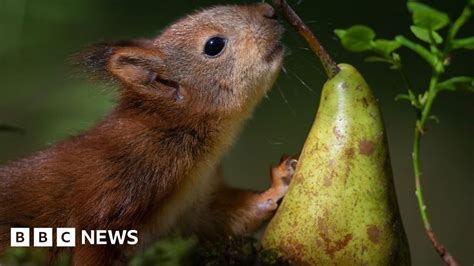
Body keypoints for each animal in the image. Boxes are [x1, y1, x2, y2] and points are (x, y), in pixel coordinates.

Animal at [0, 2, 296, 266]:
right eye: (214, 45)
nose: (270, 11)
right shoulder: (114, 187)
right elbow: (91, 247)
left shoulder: (196, 205)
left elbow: (227, 219)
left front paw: (280, 182)